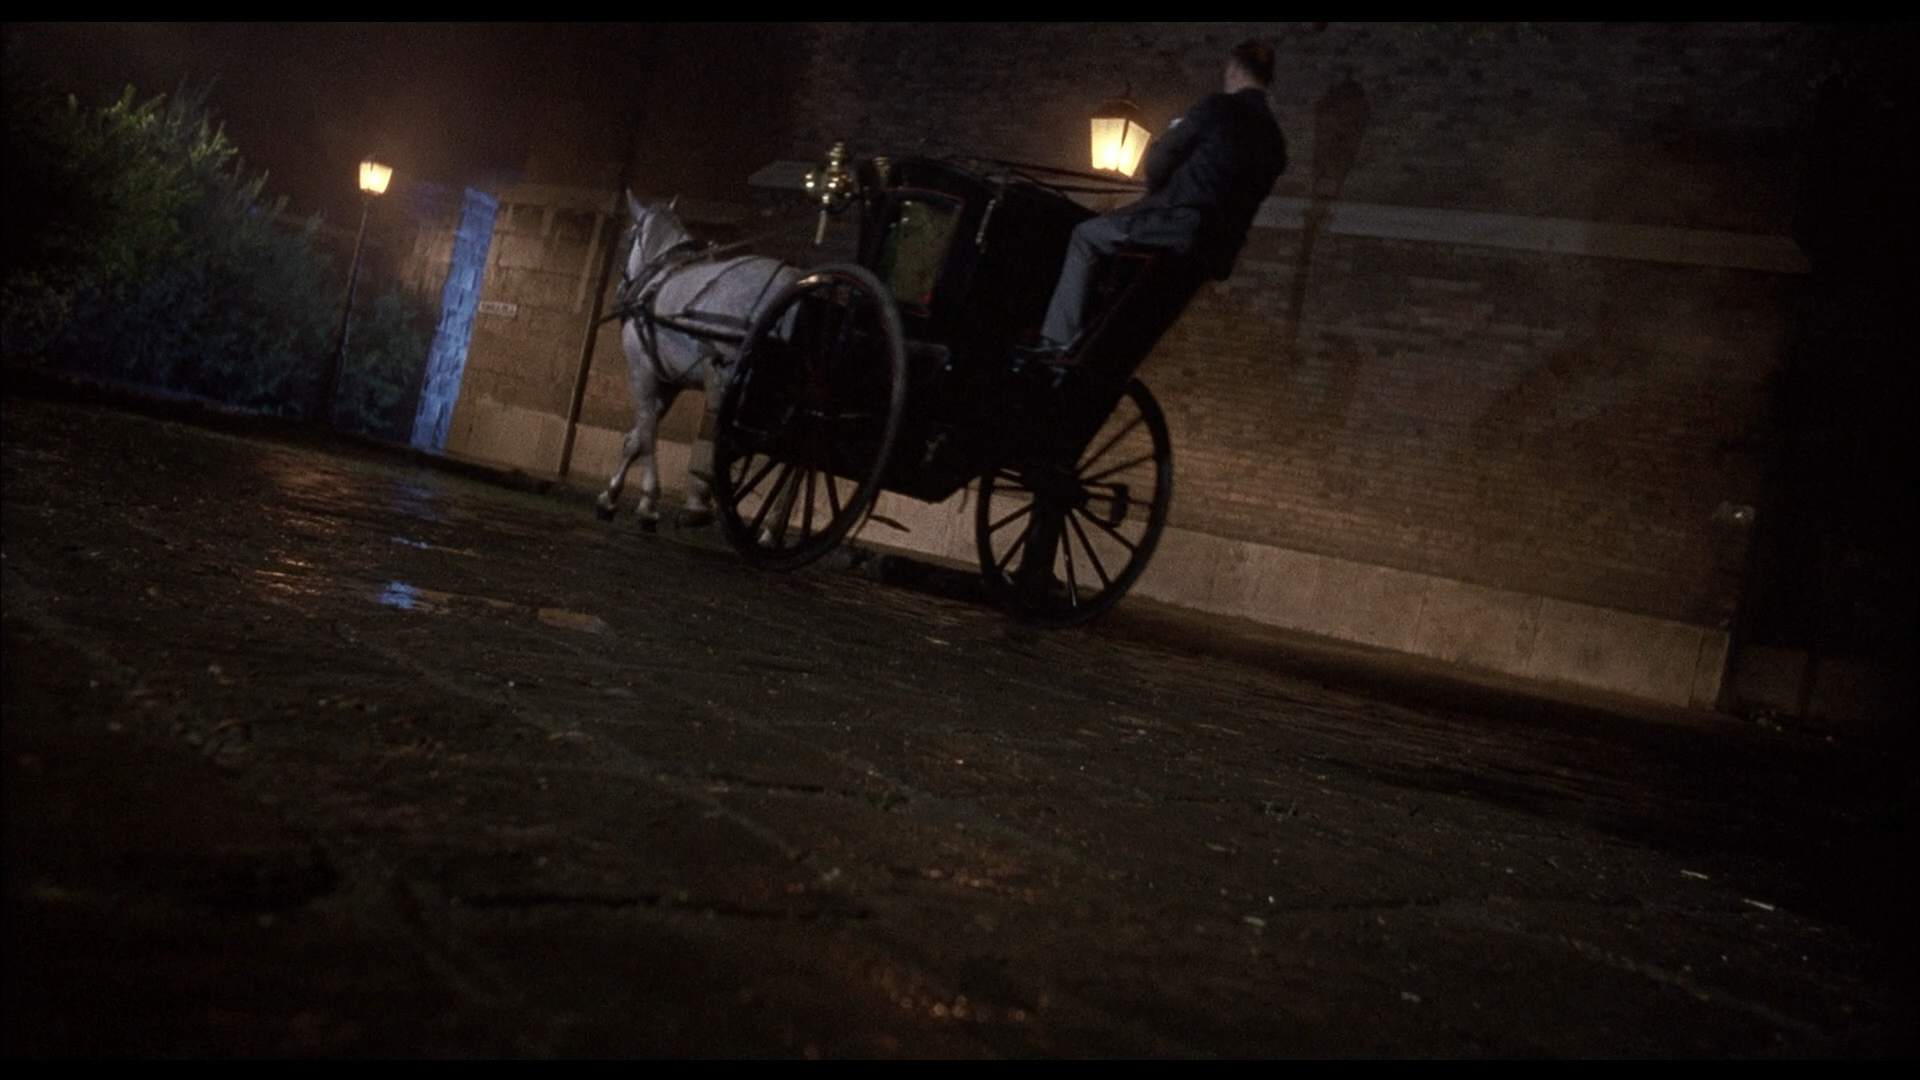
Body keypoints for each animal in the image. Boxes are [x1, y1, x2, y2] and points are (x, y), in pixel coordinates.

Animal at [595, 191, 799, 528]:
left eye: (627, 238)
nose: (620, 290)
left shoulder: (642, 371)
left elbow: (647, 431)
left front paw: (648, 500)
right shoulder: (669, 382)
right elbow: (637, 439)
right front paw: (610, 496)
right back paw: (770, 526)